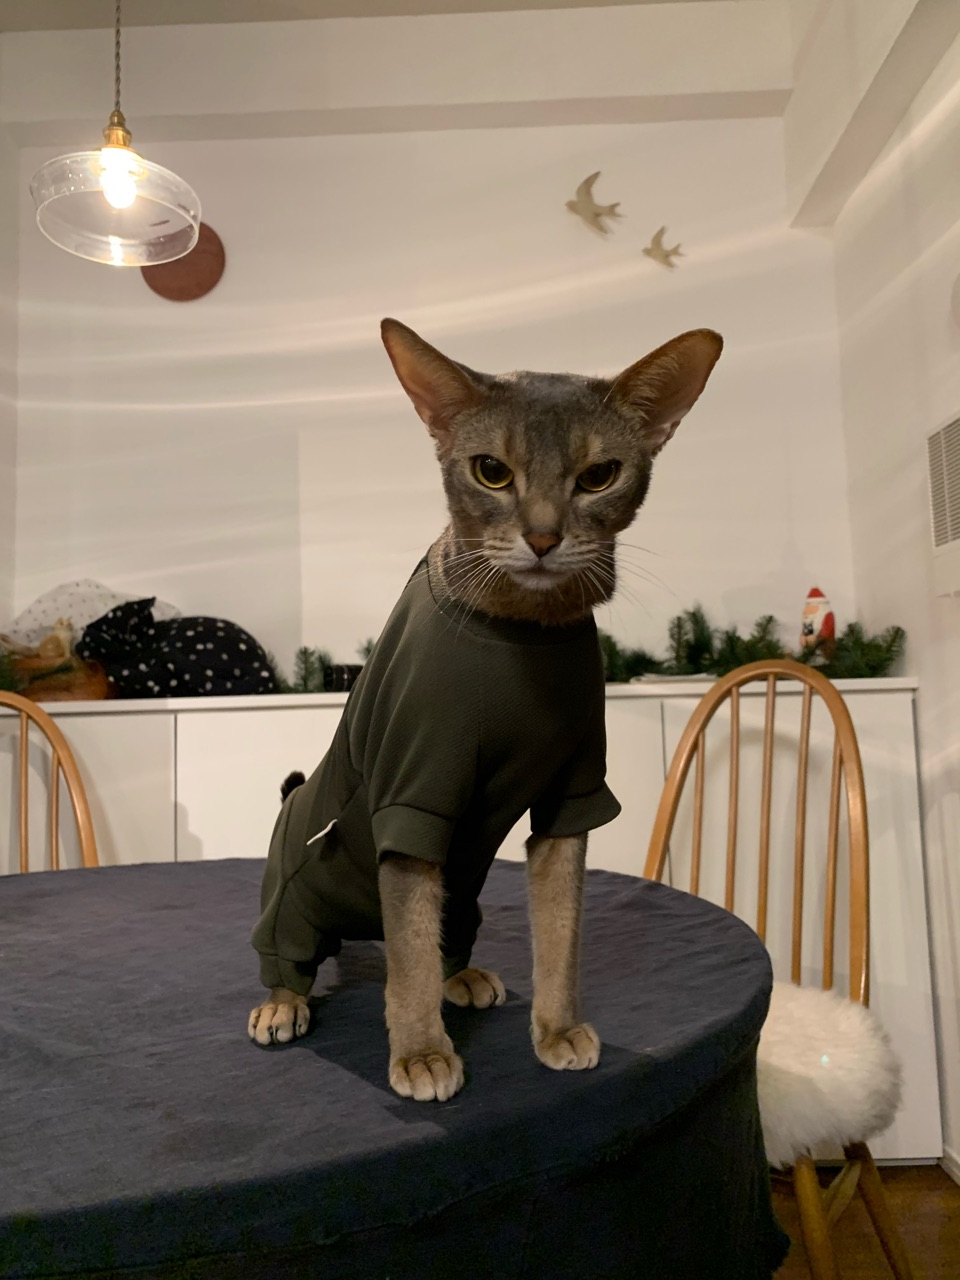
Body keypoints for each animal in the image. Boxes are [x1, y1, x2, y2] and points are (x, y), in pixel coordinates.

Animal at [248, 318, 722, 1102]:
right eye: (491, 472)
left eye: (599, 476)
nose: (543, 538)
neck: (523, 630)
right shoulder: (415, 795)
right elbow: (408, 953)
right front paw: (419, 1053)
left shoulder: (573, 796)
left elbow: (560, 933)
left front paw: (558, 1030)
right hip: (292, 897)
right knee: (293, 952)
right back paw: (282, 1002)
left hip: (463, 894)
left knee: (442, 941)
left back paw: (465, 976)